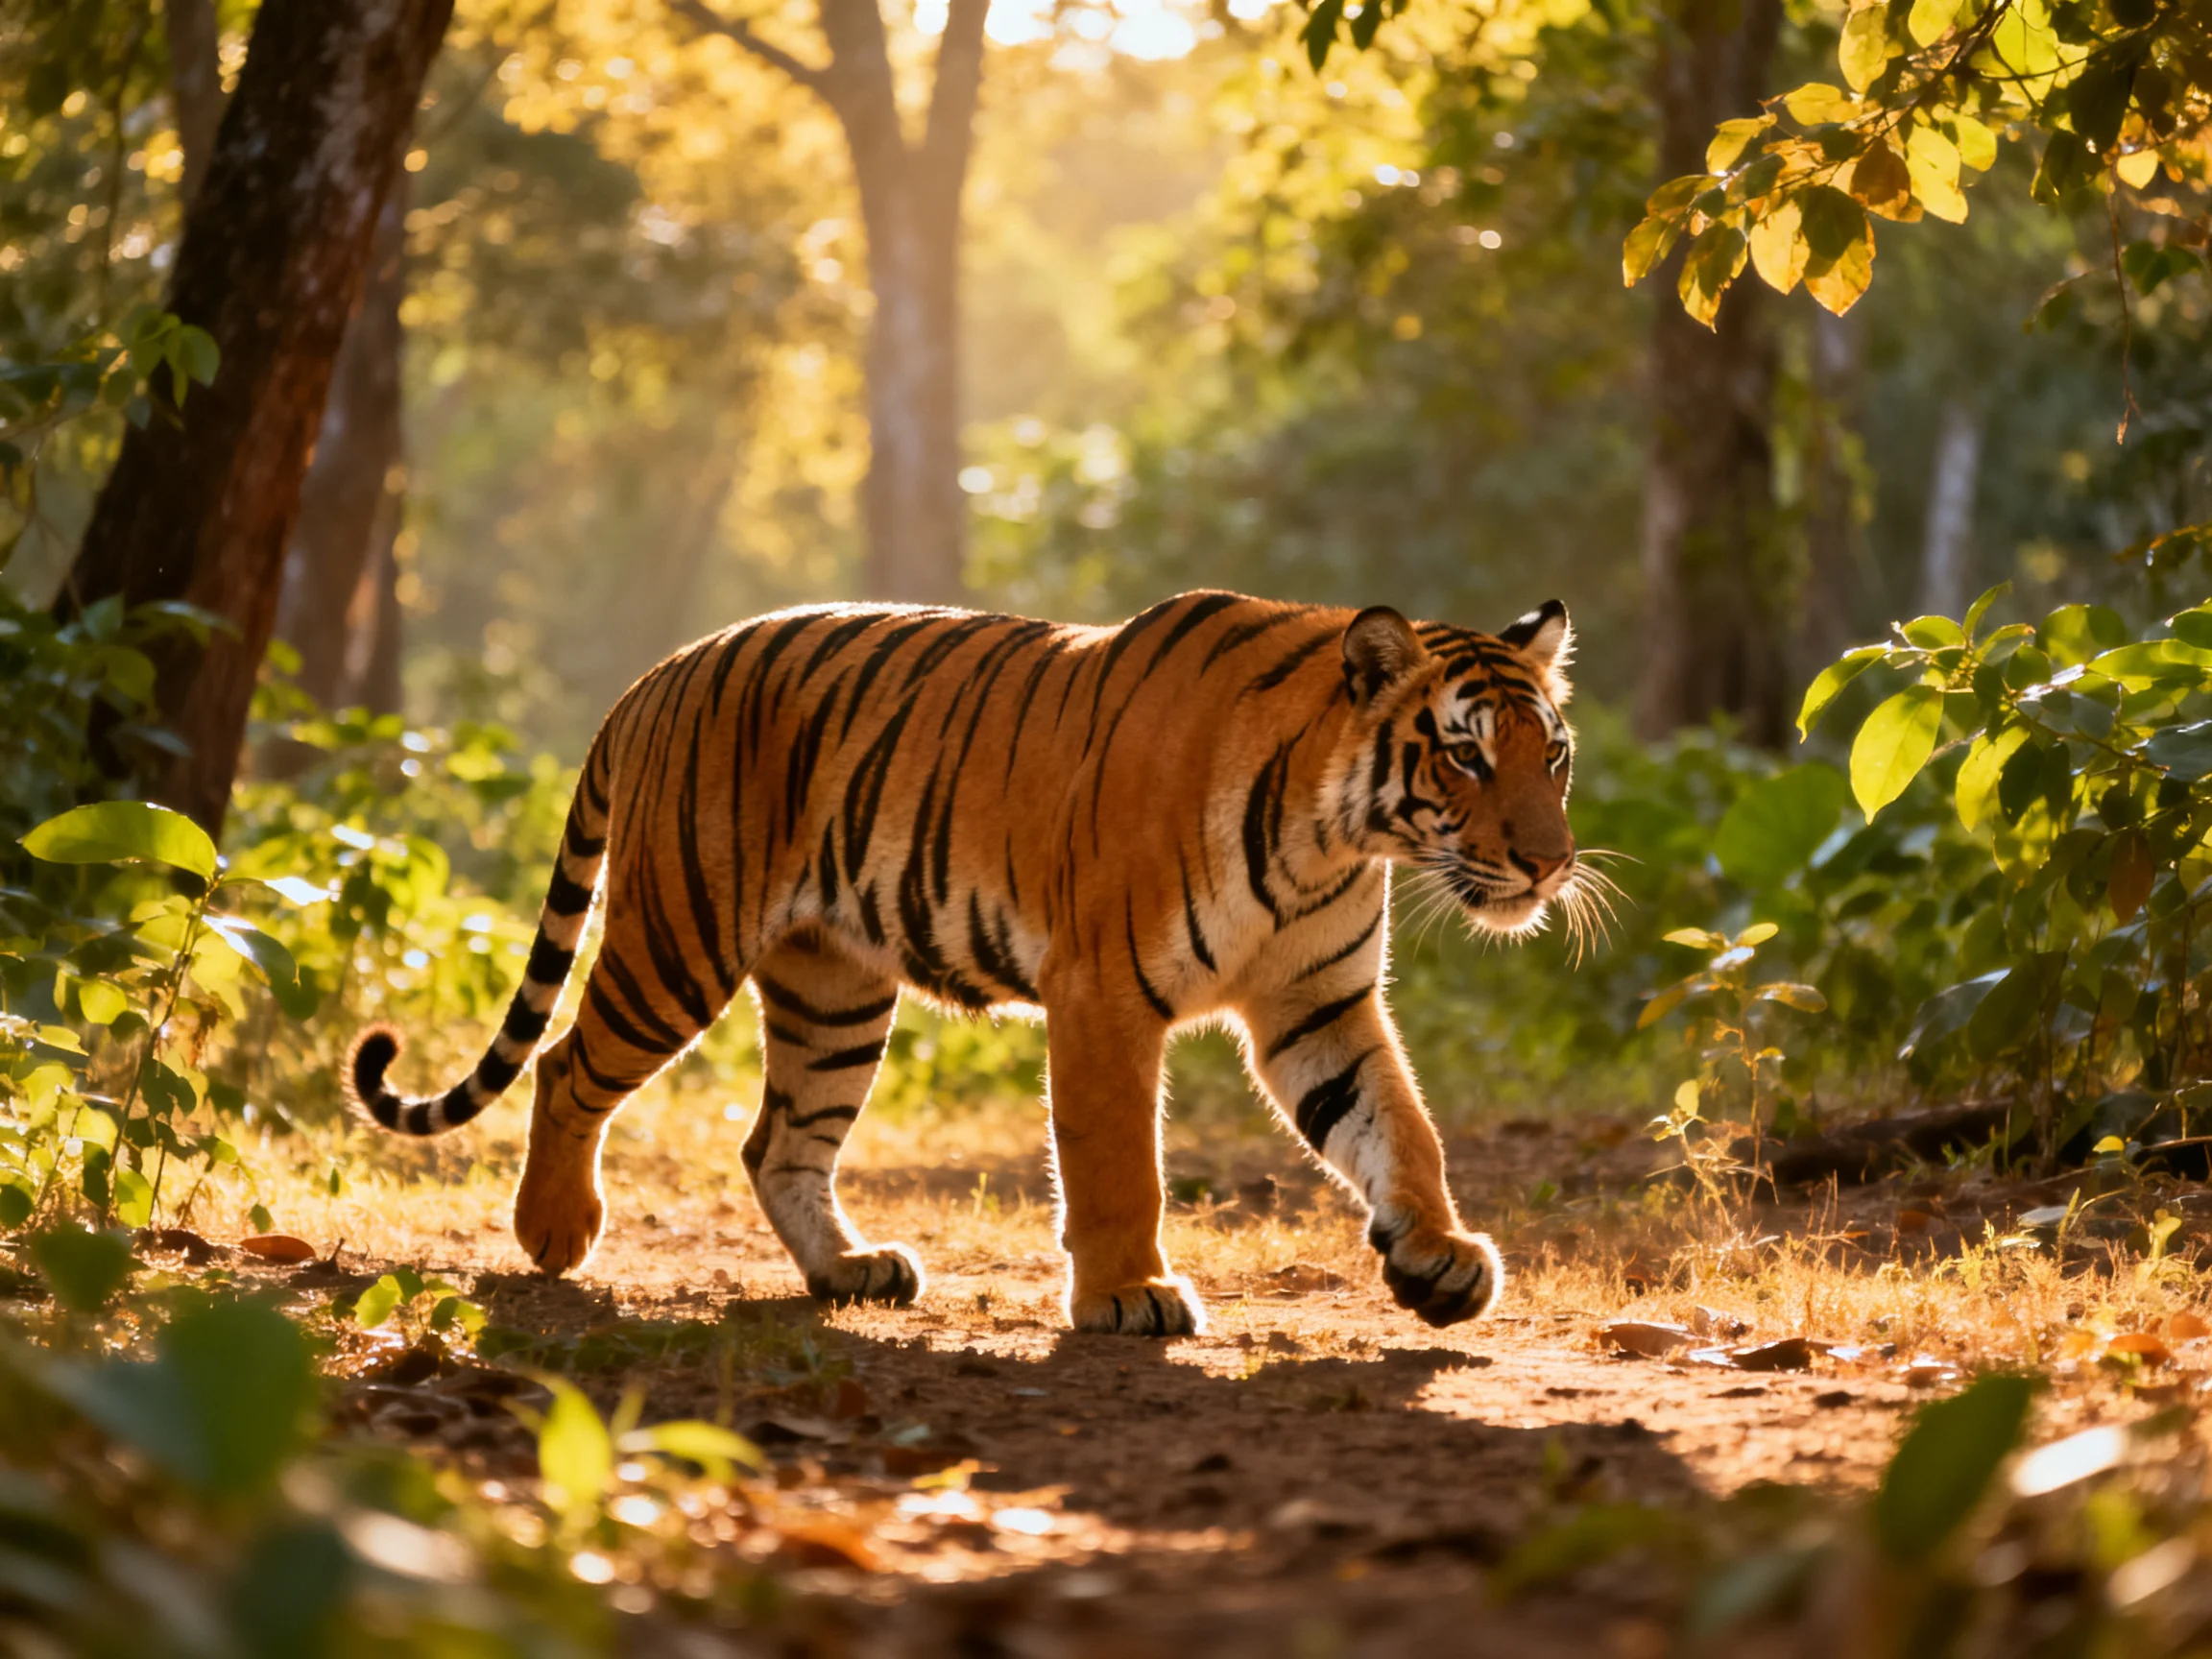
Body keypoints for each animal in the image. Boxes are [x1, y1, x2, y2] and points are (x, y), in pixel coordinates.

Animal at [348, 590, 1582, 1336]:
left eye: (1554, 754)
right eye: (1466, 755)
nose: (1552, 863)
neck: (1337, 832)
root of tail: (657, 671)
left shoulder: (1315, 1004)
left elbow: (1397, 1129)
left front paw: (1439, 1257)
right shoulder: (1104, 995)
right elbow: (1116, 1163)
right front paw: (1129, 1295)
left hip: (834, 990)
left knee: (778, 1142)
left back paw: (850, 1271)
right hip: (678, 940)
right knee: (567, 1065)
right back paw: (554, 1234)